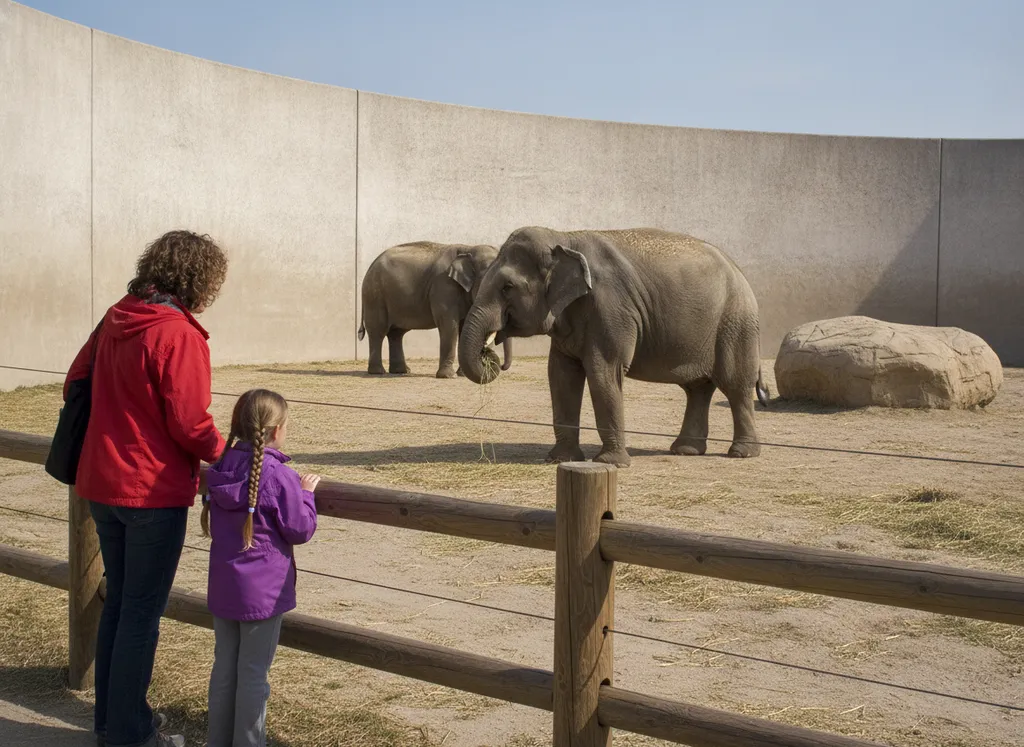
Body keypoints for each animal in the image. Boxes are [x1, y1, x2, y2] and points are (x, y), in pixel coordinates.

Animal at [358, 241, 512, 378]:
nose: (500, 366)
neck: (468, 248)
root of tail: (370, 267)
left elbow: (466, 328)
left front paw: (463, 375)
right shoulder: (443, 286)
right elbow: (449, 326)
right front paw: (448, 376)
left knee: (396, 333)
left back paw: (401, 371)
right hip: (374, 296)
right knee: (378, 331)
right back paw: (378, 372)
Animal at [457, 226, 769, 467]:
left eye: (507, 287)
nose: (487, 352)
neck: (564, 238)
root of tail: (740, 272)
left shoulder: (611, 309)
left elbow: (603, 371)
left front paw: (611, 463)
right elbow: (560, 376)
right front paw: (559, 459)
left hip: (735, 324)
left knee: (735, 385)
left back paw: (741, 454)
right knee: (697, 388)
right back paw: (685, 450)